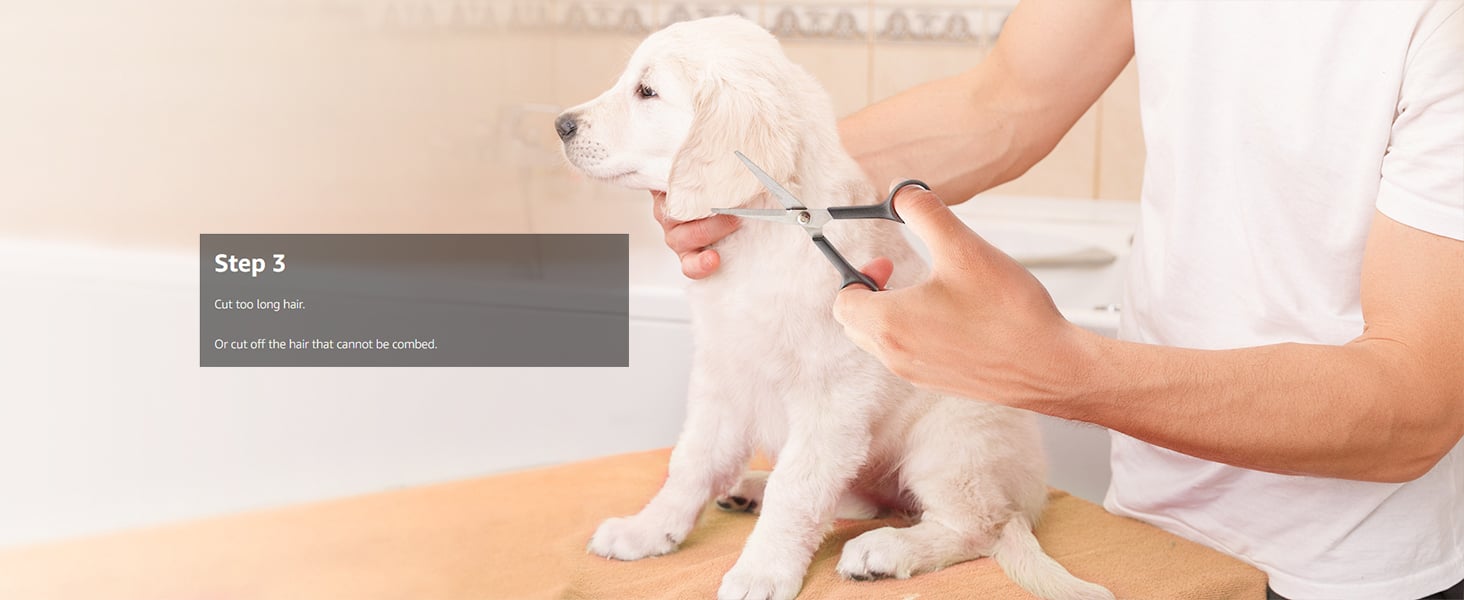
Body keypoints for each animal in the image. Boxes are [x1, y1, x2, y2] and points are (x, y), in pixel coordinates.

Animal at [556, 15, 1114, 600]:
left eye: (647, 91)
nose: (560, 125)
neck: (764, 243)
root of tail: (1032, 498)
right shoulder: (722, 380)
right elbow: (691, 463)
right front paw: (649, 530)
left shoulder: (833, 401)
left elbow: (796, 491)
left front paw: (762, 570)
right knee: (861, 499)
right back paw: (750, 488)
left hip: (951, 444)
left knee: (979, 526)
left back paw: (885, 551)